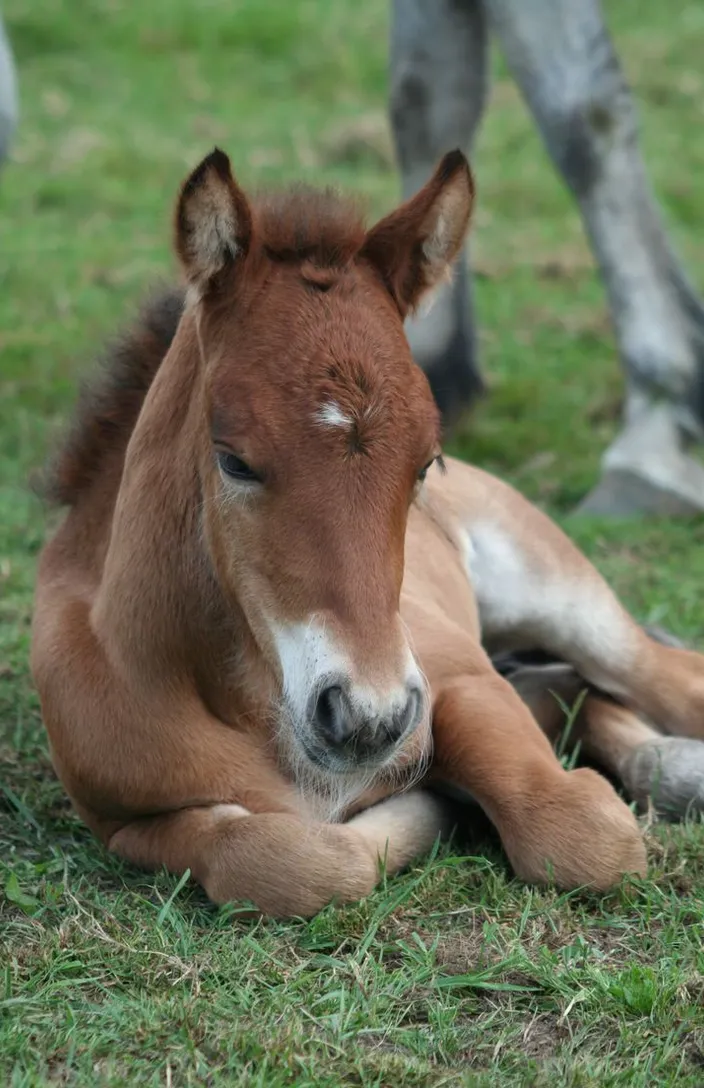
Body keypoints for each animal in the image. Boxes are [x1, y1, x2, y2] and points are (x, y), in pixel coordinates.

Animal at [30, 149, 704, 913]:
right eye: (233, 460)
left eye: (426, 463)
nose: (367, 716)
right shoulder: (124, 821)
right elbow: (289, 858)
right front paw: (428, 810)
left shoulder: (459, 677)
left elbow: (583, 833)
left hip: (564, 600)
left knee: (661, 682)